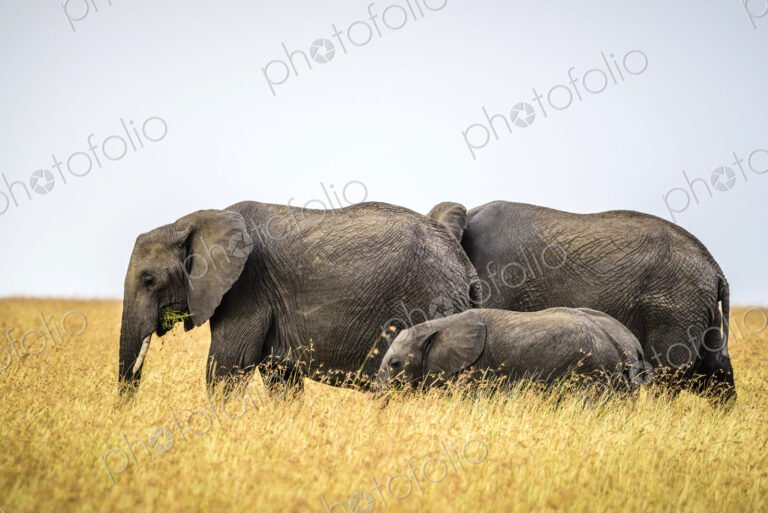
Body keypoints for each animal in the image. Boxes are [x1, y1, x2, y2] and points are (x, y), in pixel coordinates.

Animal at [118, 201, 480, 398]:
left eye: (149, 281)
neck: (190, 222)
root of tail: (466, 268)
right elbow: (281, 378)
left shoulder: (247, 289)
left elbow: (227, 366)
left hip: (432, 301)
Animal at [427, 201, 735, 402]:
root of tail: (716, 270)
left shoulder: (498, 276)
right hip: (698, 310)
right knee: (717, 370)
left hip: (675, 309)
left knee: (667, 375)